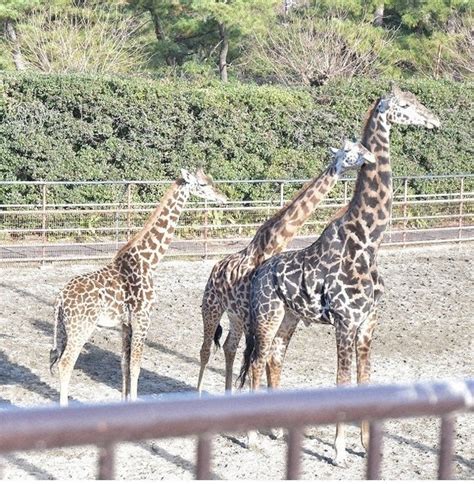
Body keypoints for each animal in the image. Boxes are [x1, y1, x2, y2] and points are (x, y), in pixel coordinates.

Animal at [50, 168, 226, 406]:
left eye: (211, 180)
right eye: (203, 184)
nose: (224, 198)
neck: (148, 261)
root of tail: (60, 299)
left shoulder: (126, 324)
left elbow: (124, 365)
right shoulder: (143, 318)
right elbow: (136, 366)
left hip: (63, 328)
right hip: (81, 328)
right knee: (65, 363)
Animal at [194, 139, 376, 394]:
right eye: (348, 151)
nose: (370, 157)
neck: (272, 244)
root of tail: (215, 268)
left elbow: (263, 360)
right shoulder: (257, 315)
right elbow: (256, 361)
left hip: (234, 316)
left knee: (230, 347)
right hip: (212, 308)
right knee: (206, 350)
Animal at [239, 87, 442, 466]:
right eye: (405, 105)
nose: (435, 120)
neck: (368, 241)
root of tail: (259, 271)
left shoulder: (368, 321)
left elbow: (365, 381)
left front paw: (365, 443)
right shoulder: (346, 321)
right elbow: (342, 382)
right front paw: (338, 451)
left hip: (289, 317)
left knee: (274, 357)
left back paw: (273, 429)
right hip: (266, 315)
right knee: (257, 360)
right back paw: (251, 437)